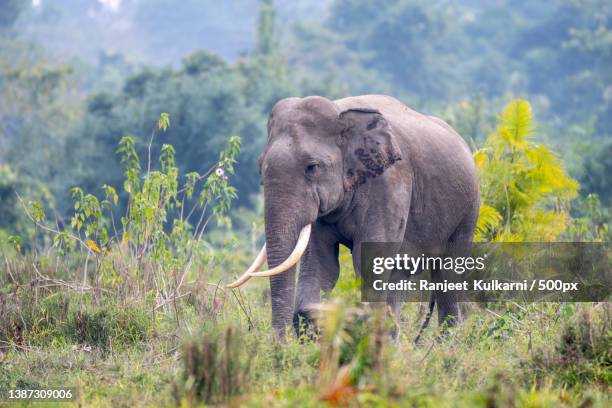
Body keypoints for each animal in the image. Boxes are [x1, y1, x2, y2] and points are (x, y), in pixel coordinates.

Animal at [227, 94, 480, 336]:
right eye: (260, 166)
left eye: (312, 167)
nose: (279, 345)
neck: (341, 112)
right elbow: (324, 263)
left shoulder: (390, 184)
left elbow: (368, 257)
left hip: (468, 211)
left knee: (447, 273)